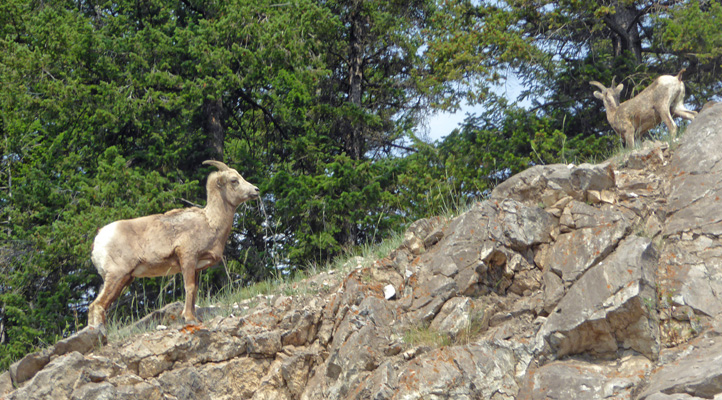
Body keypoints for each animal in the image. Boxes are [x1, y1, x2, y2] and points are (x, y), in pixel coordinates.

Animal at [88, 159, 258, 324]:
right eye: (234, 180)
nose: (256, 190)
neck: (210, 222)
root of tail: (99, 240)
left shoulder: (196, 267)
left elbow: (194, 290)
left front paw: (193, 317)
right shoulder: (187, 257)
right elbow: (189, 287)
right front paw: (188, 318)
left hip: (124, 278)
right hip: (117, 275)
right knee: (98, 305)